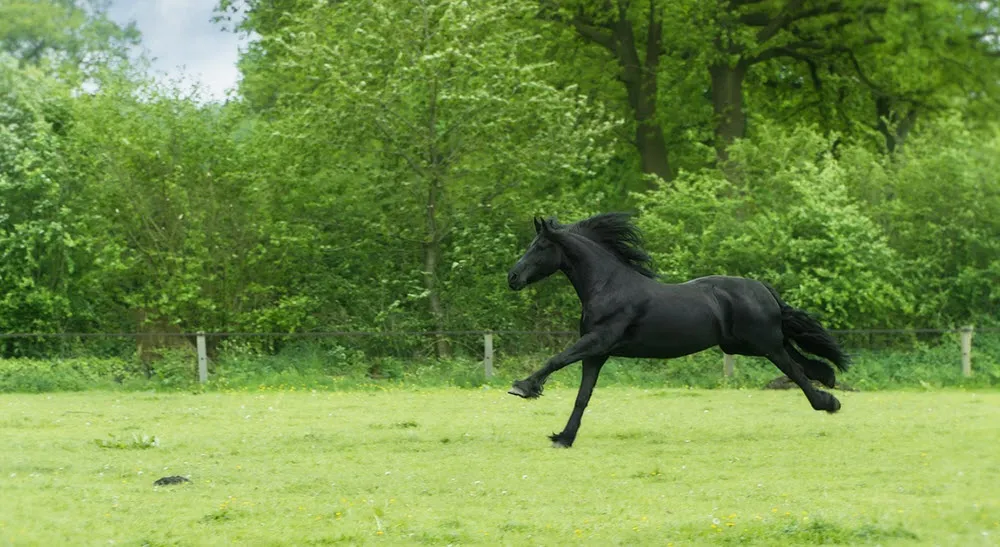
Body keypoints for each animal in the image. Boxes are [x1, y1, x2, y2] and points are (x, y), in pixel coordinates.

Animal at [505, 212, 850, 448]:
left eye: (539, 247)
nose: (512, 277)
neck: (608, 286)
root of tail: (763, 288)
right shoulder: (597, 353)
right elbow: (582, 396)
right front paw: (564, 437)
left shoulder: (597, 341)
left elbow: (557, 359)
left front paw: (523, 387)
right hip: (744, 344)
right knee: (799, 359)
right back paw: (828, 379)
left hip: (761, 343)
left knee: (794, 368)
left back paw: (828, 402)